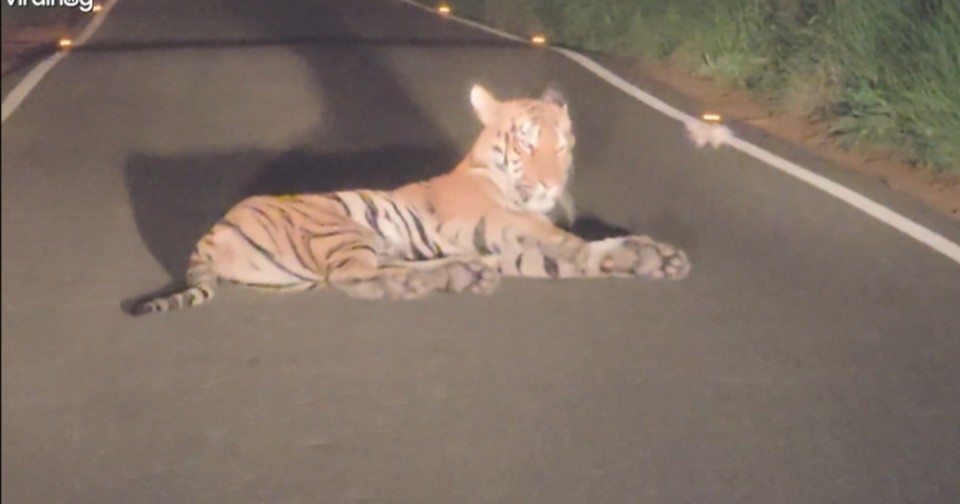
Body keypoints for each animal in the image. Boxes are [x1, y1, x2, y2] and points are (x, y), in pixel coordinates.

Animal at [126, 84, 691, 316]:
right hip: (340, 229)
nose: (551, 184)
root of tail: (207, 235)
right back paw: (436, 282)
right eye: (528, 144)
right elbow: (567, 242)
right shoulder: (501, 223)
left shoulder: (507, 246)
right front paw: (643, 254)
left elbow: (567, 259)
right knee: (355, 280)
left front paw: (653, 260)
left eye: (564, 145)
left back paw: (461, 276)